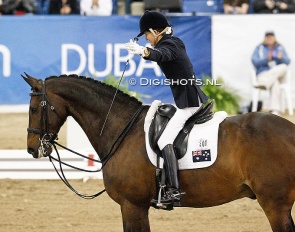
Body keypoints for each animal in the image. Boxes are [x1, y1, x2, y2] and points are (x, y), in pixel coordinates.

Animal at [22, 74, 295, 230]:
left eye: (34, 109)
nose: (32, 148)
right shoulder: (133, 206)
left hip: (275, 205)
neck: (122, 129)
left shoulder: (133, 206)